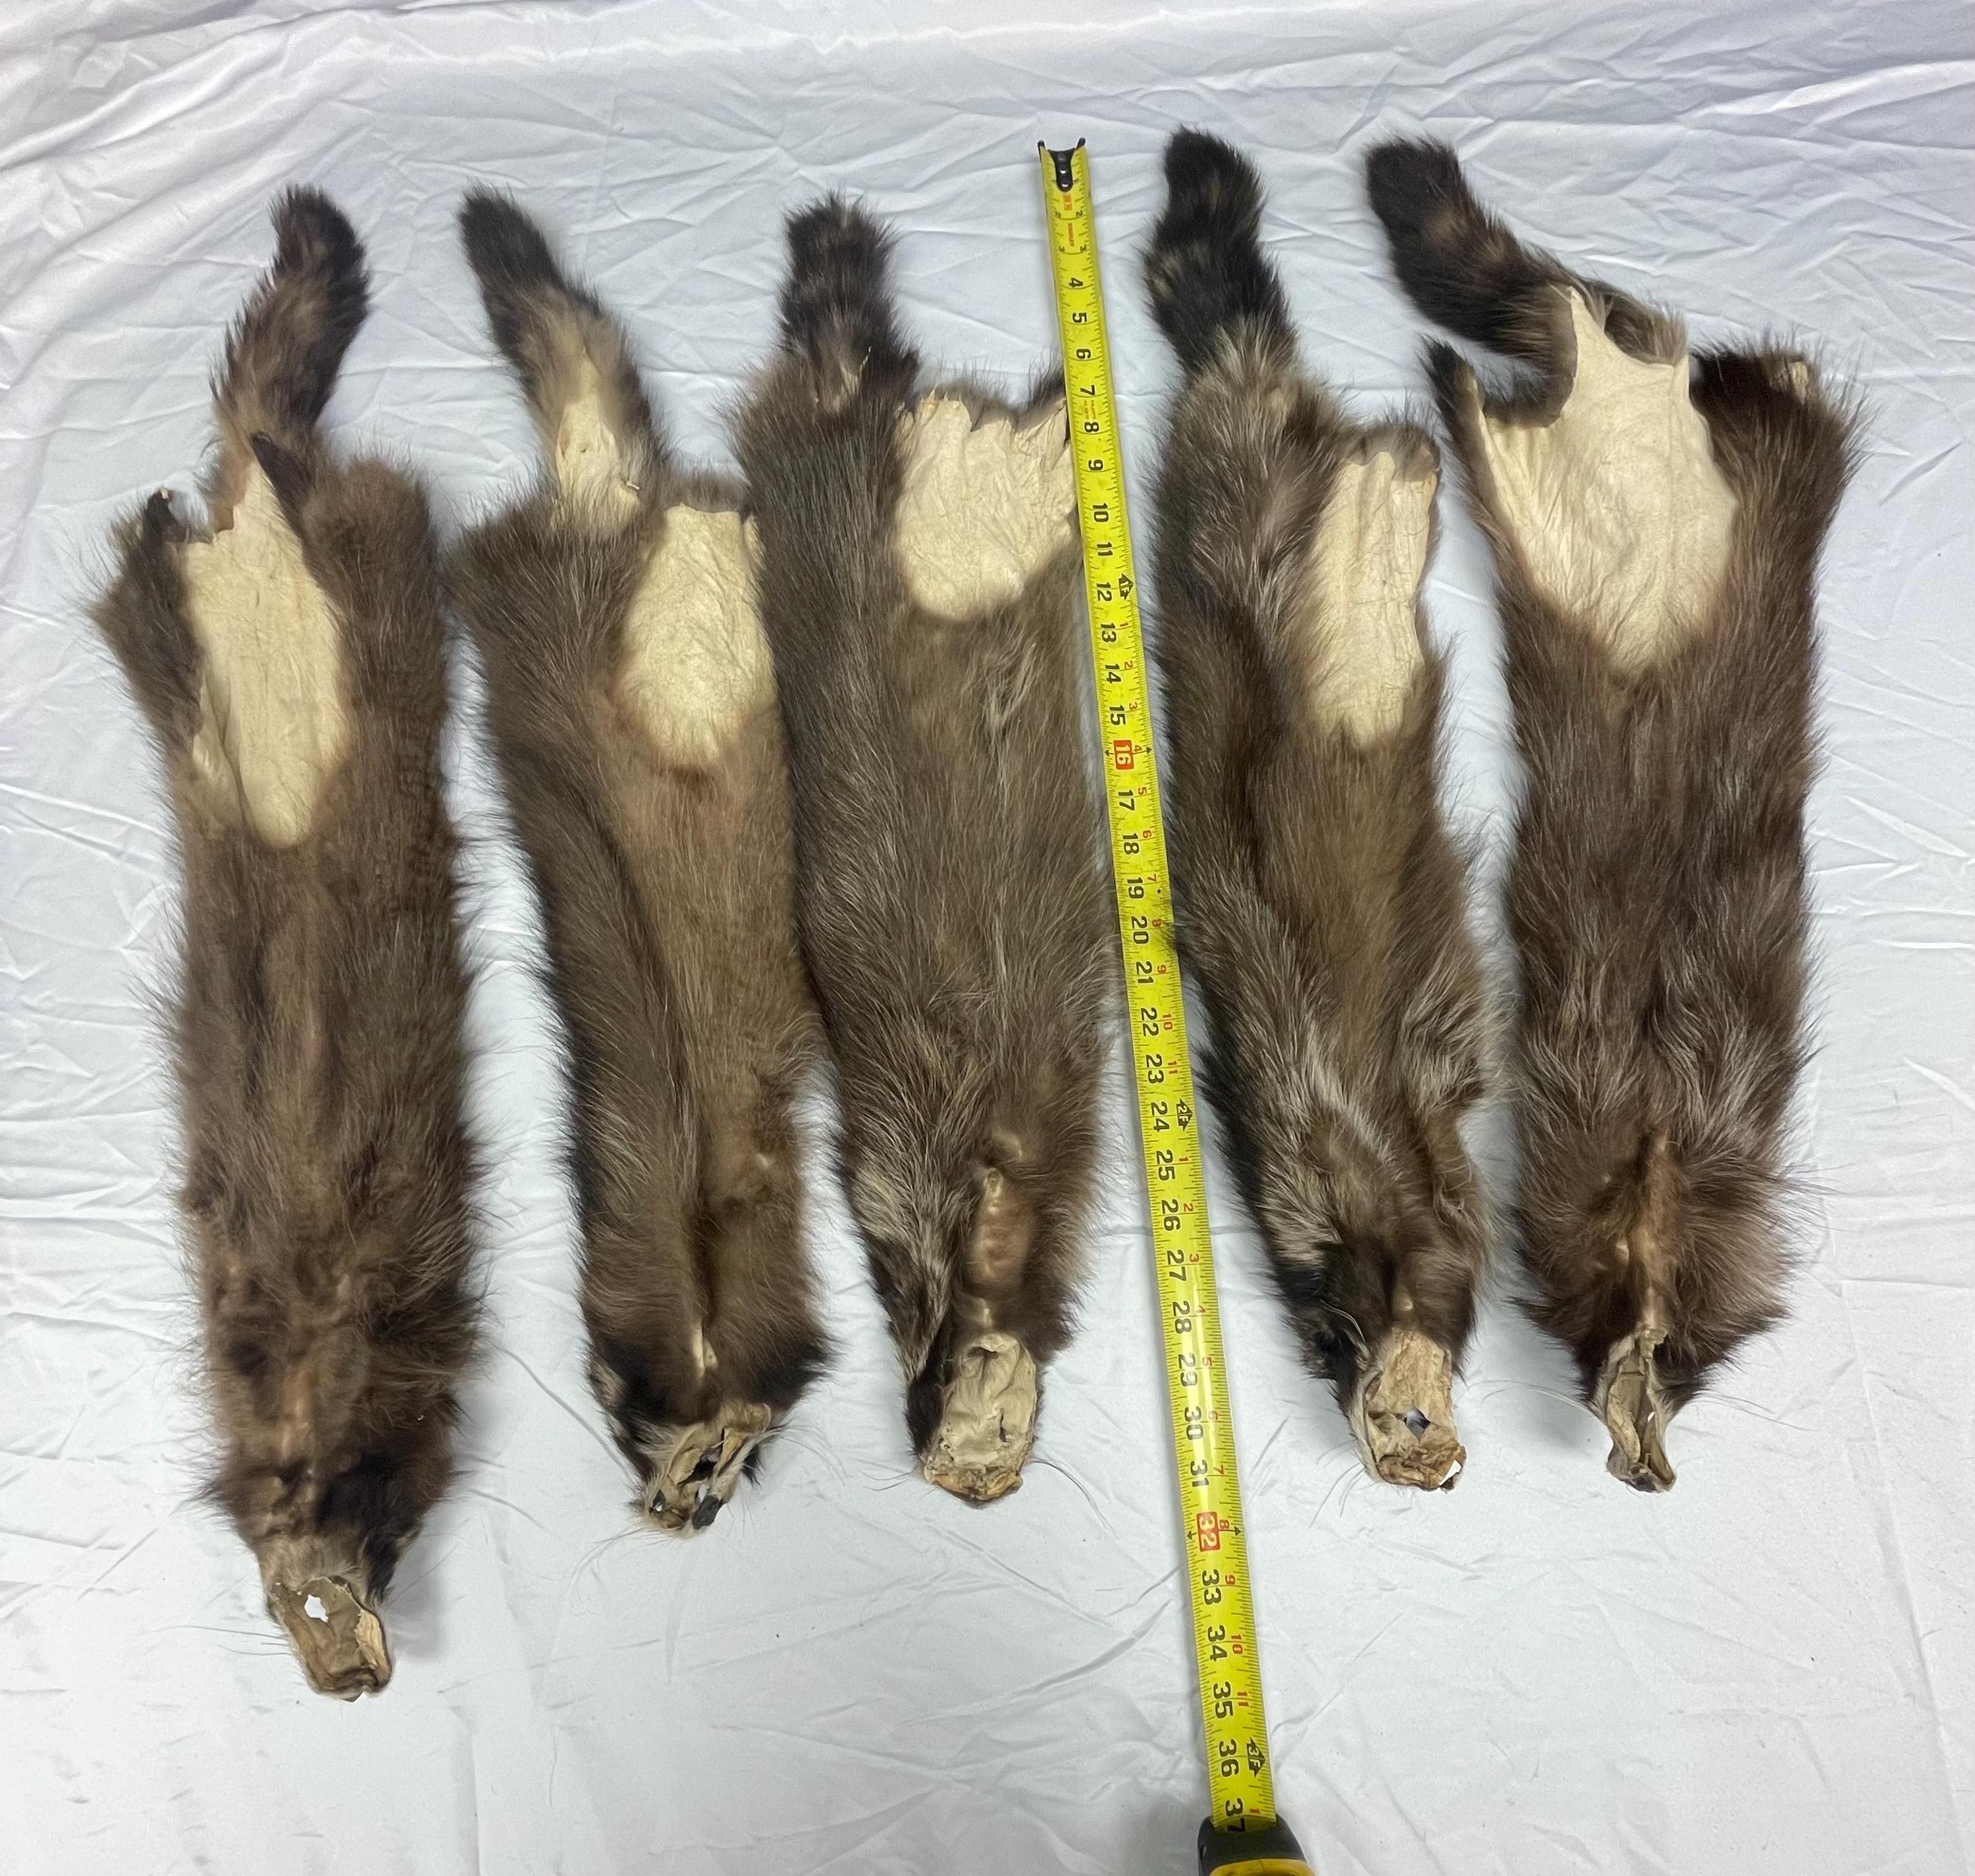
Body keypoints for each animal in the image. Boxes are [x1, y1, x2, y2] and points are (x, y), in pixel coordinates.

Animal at [91, 190, 477, 1695]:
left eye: (400, 1558)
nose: (355, 1669)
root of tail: (256, 527)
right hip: (227, 607)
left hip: (353, 558)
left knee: (260, 439)